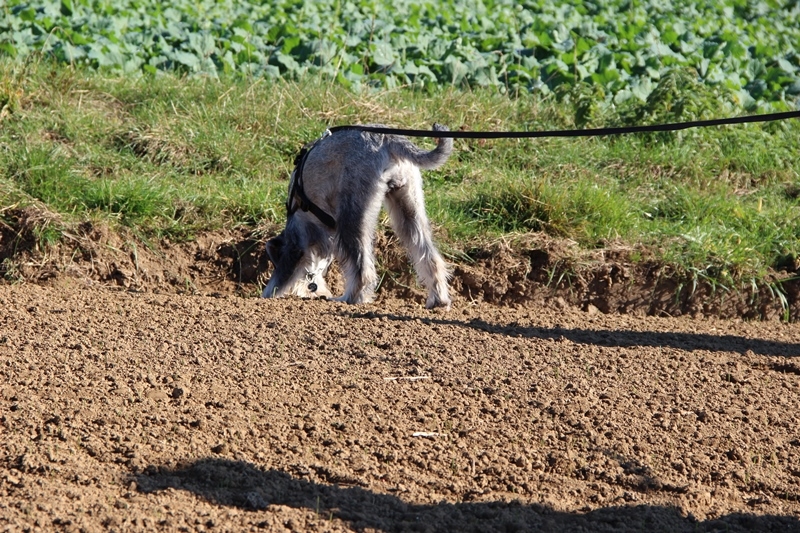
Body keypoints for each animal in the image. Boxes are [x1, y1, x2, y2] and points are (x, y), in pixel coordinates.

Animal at [260, 123, 454, 308]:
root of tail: (389, 138)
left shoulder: (296, 245)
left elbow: (281, 276)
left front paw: (268, 295)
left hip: (352, 215)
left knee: (361, 267)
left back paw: (350, 298)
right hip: (408, 207)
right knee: (428, 255)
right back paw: (438, 299)